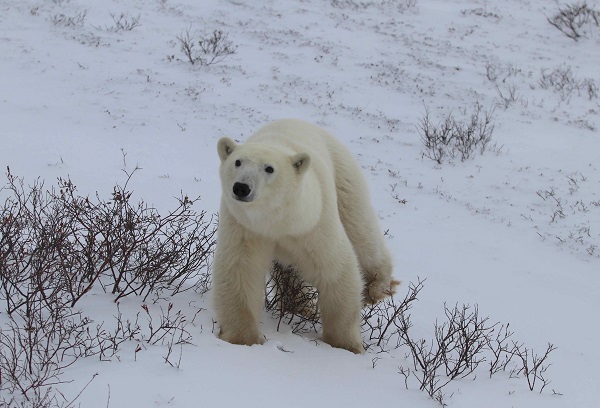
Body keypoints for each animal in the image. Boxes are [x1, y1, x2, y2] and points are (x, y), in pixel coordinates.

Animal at [211, 118, 398, 354]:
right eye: (237, 162)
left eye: (269, 168)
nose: (242, 187)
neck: (278, 221)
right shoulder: (245, 227)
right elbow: (241, 270)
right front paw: (243, 339)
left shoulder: (313, 223)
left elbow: (335, 270)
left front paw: (347, 346)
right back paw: (301, 306)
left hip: (343, 174)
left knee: (360, 228)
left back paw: (376, 287)